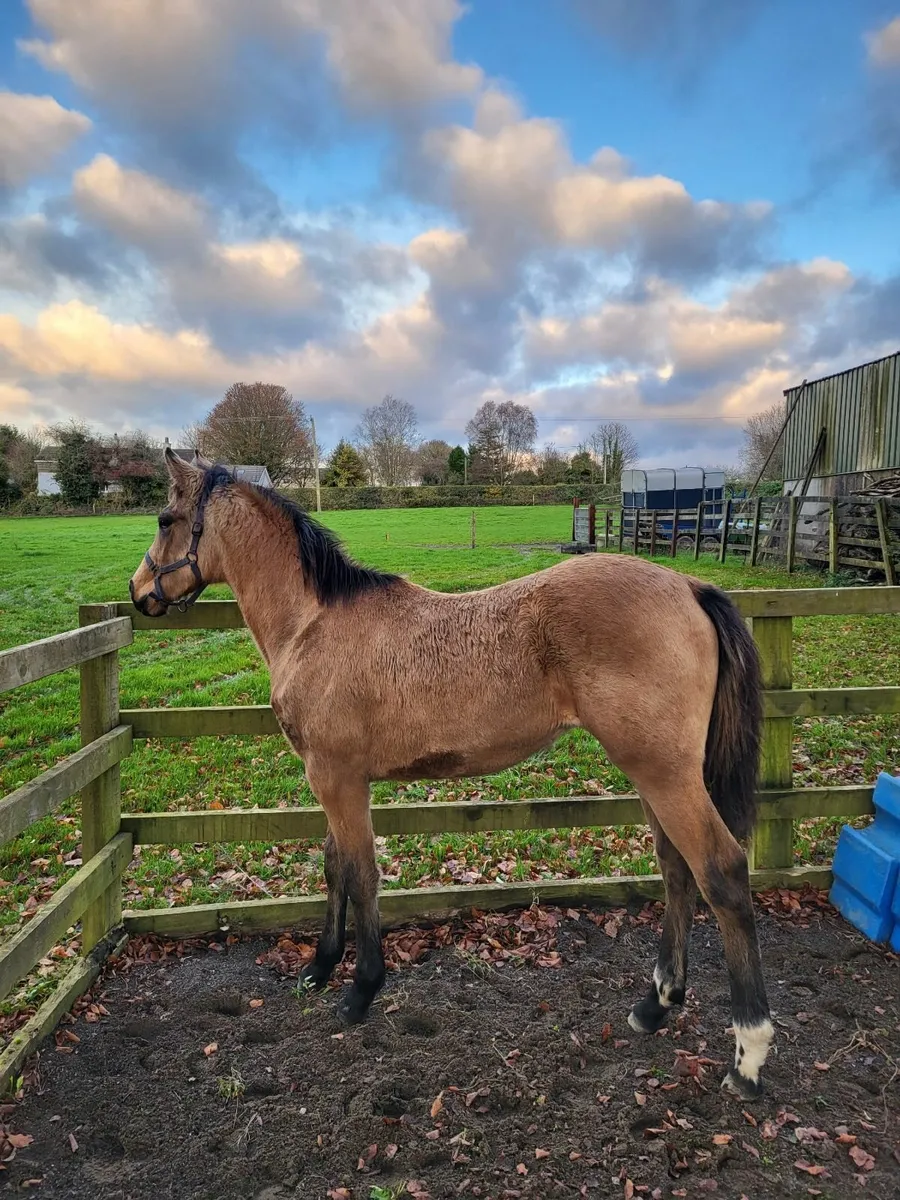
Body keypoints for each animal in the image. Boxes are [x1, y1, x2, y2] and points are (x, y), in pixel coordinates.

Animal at [129, 448, 774, 1100]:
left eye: (163, 519)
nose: (137, 591)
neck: (312, 623)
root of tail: (689, 585)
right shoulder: (330, 778)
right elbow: (334, 865)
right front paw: (319, 966)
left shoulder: (338, 778)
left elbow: (361, 873)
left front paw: (361, 989)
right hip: (657, 777)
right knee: (677, 870)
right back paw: (655, 1004)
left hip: (665, 775)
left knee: (719, 871)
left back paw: (748, 1054)